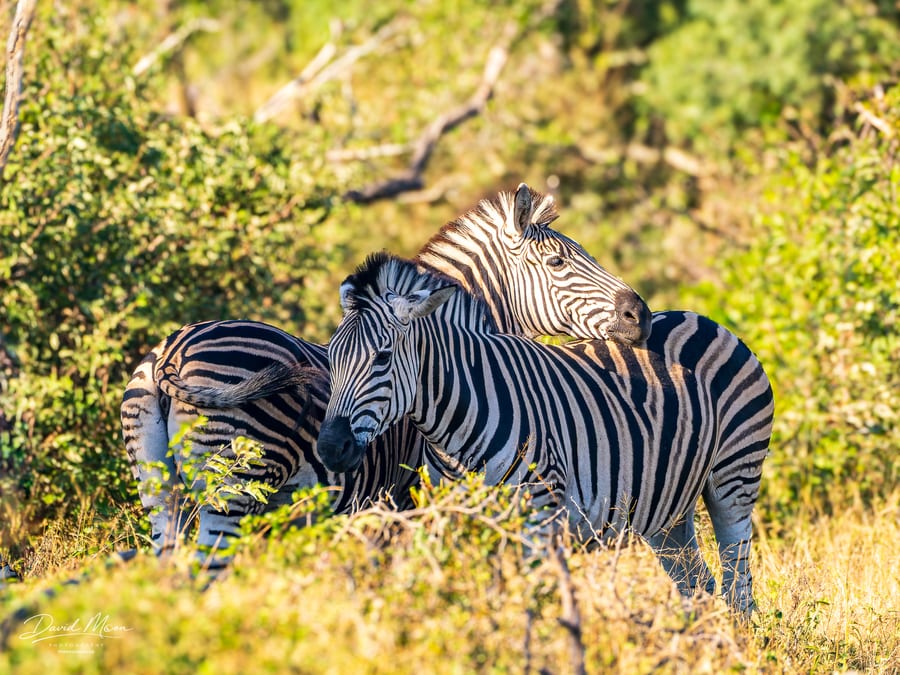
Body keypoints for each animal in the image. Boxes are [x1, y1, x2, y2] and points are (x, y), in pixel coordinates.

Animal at [121, 183, 652, 559]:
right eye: (558, 261)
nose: (641, 314)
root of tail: (170, 352)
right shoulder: (407, 500)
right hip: (232, 490)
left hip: (159, 493)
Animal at [317, 253, 774, 615]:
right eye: (331, 356)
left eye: (382, 357)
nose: (330, 448)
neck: (458, 419)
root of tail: (702, 318)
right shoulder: (456, 523)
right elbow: (476, 605)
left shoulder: (538, 518)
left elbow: (531, 604)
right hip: (667, 507)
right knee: (699, 588)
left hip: (734, 479)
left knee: (738, 590)